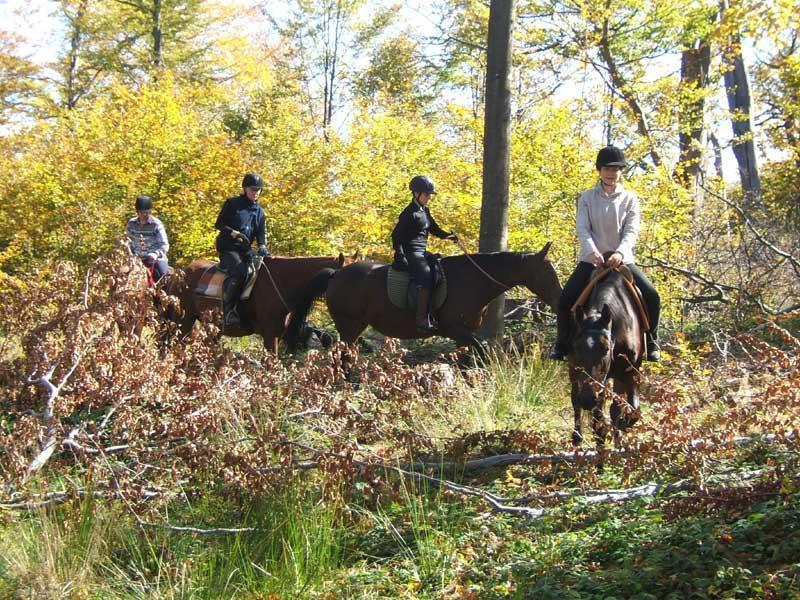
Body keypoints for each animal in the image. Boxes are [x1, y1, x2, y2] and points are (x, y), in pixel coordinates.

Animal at [162, 252, 356, 354]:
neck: (283, 281)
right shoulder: (270, 335)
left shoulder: (277, 334)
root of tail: (180, 273)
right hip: (183, 320)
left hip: (213, 327)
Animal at [284, 243, 560, 356]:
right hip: (349, 325)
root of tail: (336, 274)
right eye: (547, 273)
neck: (471, 280)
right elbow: (481, 353)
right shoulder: (456, 330)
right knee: (342, 354)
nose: (559, 300)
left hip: (355, 326)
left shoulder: (464, 334)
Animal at [564, 268, 648, 450]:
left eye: (606, 349)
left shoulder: (631, 372)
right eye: (577, 347)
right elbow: (598, 420)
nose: (588, 399)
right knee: (576, 402)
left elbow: (632, 410)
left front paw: (621, 433)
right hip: (575, 374)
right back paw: (577, 439)